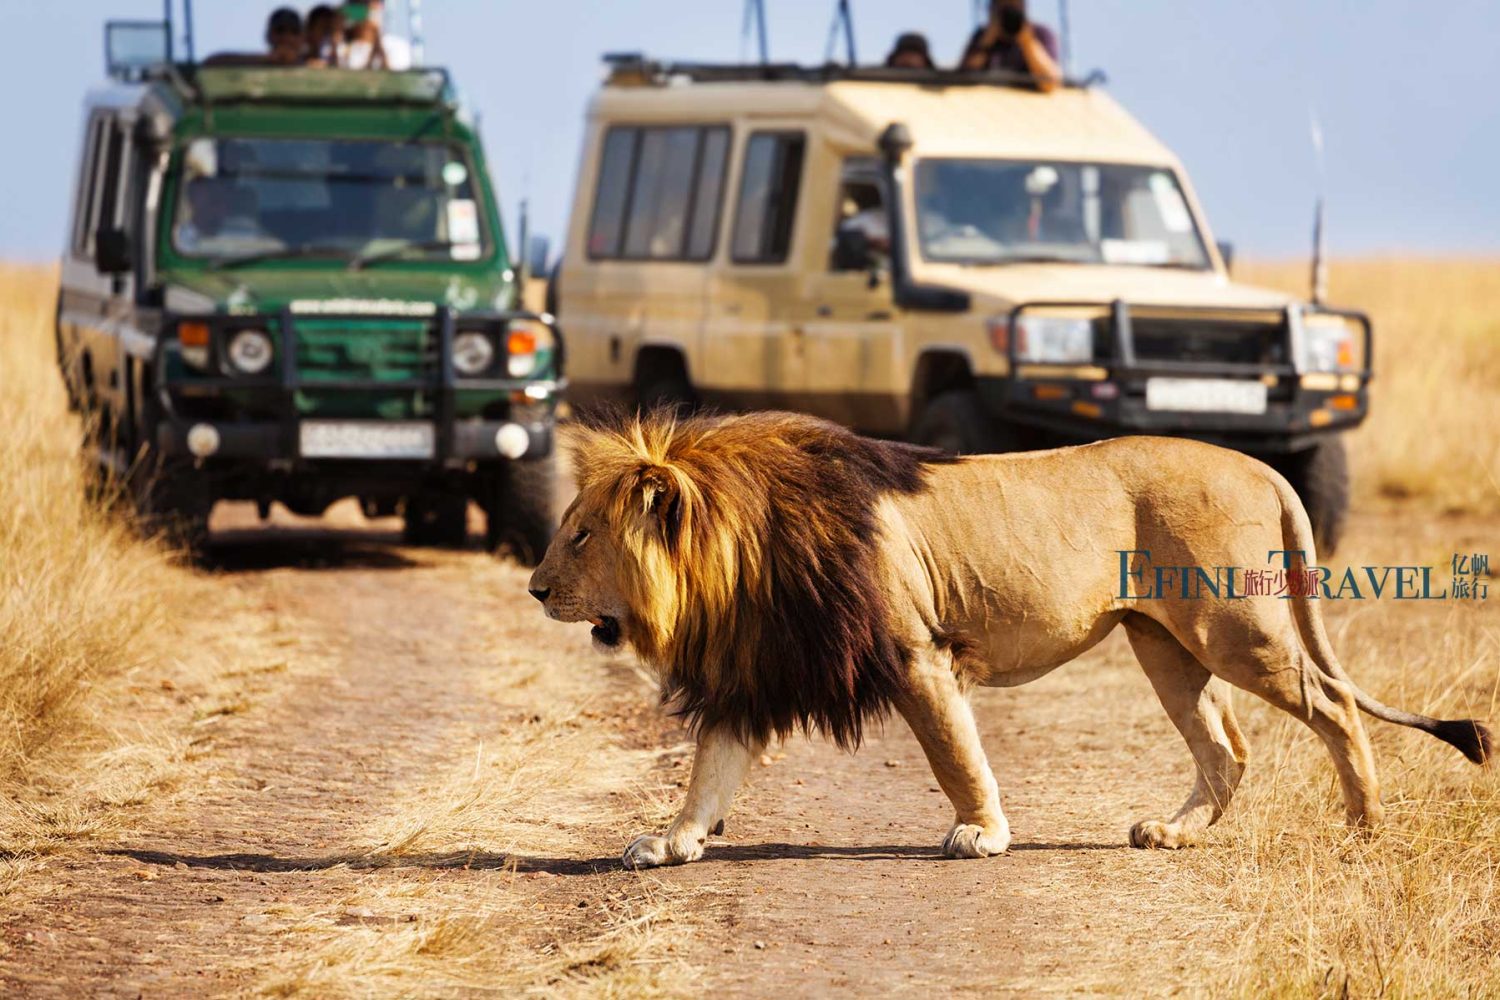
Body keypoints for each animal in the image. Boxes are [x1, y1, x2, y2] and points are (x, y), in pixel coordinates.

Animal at [528, 407, 1488, 869]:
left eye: (580, 535)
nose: (535, 589)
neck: (740, 557)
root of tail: (1261, 464)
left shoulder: (916, 653)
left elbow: (956, 753)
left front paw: (982, 834)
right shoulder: (754, 673)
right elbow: (708, 772)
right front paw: (671, 843)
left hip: (1233, 627)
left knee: (1333, 705)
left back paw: (1364, 828)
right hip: (1163, 644)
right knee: (1227, 747)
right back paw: (1172, 834)